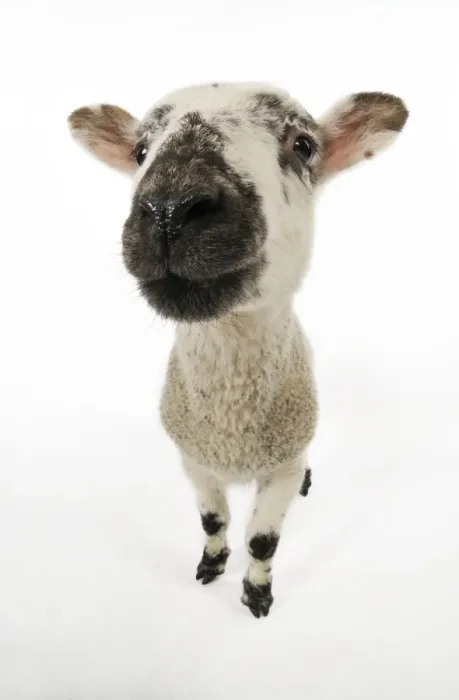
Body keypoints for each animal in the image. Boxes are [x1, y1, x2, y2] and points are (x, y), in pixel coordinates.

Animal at [68, 83, 408, 618]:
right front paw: (211, 566)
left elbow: (262, 541)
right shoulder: (193, 460)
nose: (169, 210)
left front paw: (256, 594)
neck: (232, 427)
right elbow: (213, 522)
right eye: (140, 151)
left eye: (303, 145)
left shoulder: (282, 468)